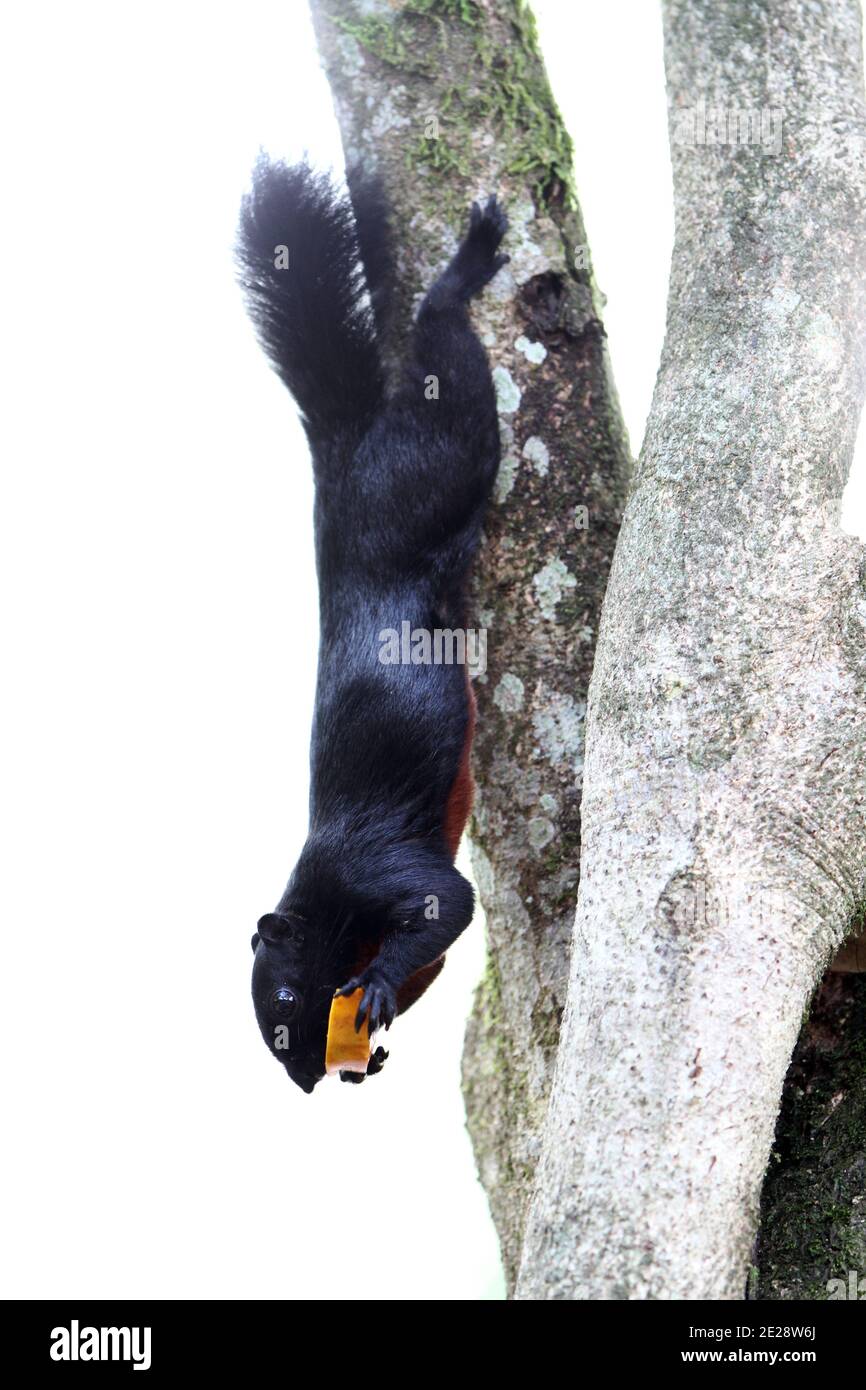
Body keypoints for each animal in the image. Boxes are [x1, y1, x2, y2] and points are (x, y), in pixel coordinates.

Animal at [237, 159, 508, 1084]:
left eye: (285, 995)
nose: (303, 1083)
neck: (325, 910)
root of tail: (342, 451)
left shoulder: (380, 872)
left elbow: (445, 904)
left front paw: (382, 983)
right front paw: (376, 1048)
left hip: (432, 467)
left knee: (447, 354)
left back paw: (467, 268)